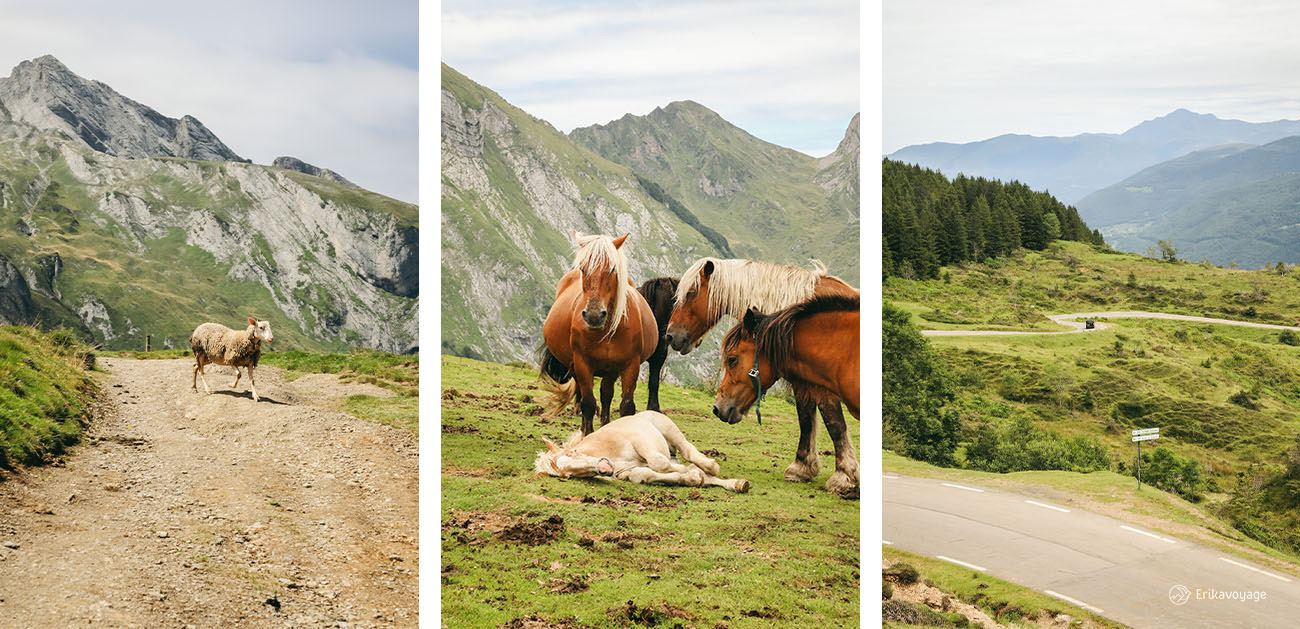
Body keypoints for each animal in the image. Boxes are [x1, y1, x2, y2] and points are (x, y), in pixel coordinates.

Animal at [530, 410, 754, 493]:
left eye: (574, 452)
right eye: (568, 475)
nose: (603, 467)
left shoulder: (640, 441)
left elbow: (660, 463)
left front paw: (692, 472)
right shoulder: (627, 472)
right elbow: (643, 474)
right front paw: (691, 476)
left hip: (669, 431)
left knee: (689, 452)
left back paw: (711, 466)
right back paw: (737, 484)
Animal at [540, 232, 660, 436]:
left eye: (612, 269)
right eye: (583, 268)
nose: (594, 315)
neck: (607, 330)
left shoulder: (630, 365)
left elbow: (626, 406)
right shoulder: (582, 363)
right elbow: (588, 403)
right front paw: (587, 436)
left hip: (611, 370)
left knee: (606, 395)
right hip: (577, 366)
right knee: (585, 395)